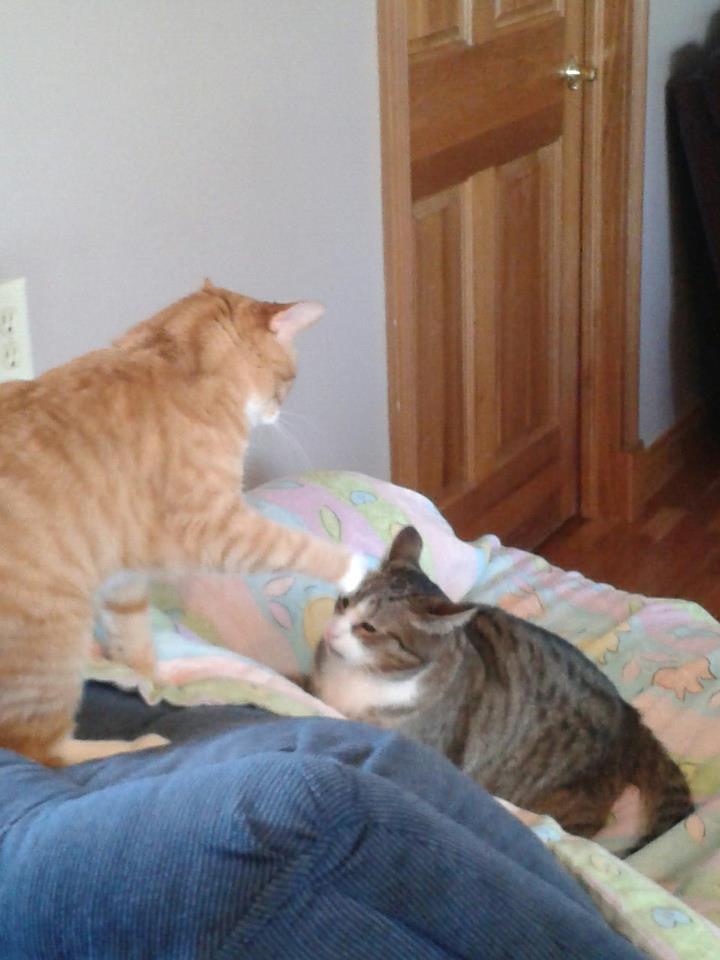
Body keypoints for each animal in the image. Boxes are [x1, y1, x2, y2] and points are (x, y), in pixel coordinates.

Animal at [0, 282, 365, 767]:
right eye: (289, 381)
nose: (277, 412)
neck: (180, 363)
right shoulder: (216, 529)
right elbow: (297, 546)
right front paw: (360, 567)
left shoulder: (124, 574)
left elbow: (134, 640)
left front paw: (153, 680)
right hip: (53, 643)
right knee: (39, 748)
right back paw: (136, 746)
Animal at [311, 526, 693, 851]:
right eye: (344, 602)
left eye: (369, 628)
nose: (329, 632)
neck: (362, 678)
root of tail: (630, 717)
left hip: (569, 796)